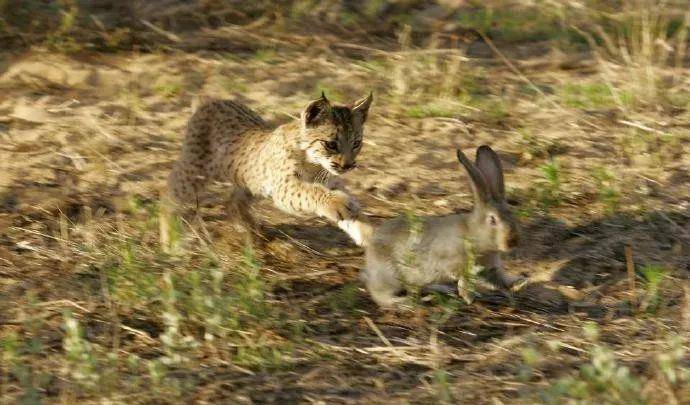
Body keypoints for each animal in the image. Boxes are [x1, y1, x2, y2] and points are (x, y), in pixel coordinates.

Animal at [360, 145, 520, 306]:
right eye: (492, 220)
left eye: (511, 213)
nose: (513, 242)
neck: (473, 233)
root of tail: (370, 252)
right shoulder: (450, 261)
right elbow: (462, 277)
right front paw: (468, 297)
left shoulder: (491, 269)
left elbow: (500, 280)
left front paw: (517, 282)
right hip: (389, 275)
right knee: (380, 295)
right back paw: (402, 302)